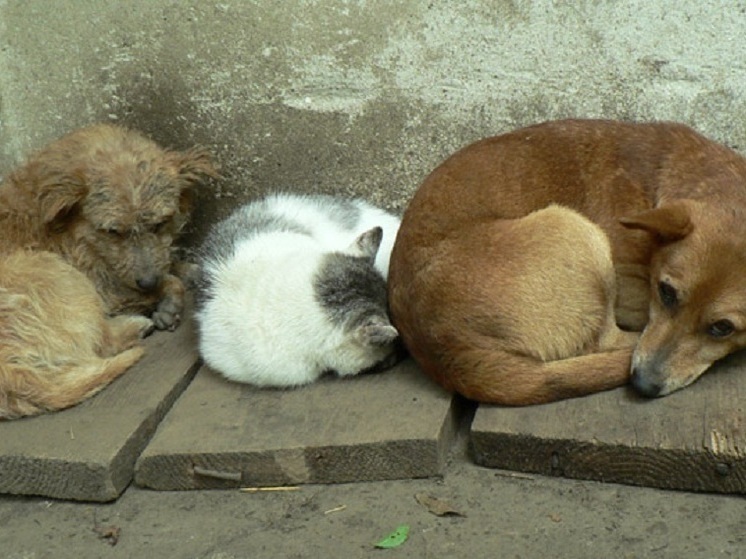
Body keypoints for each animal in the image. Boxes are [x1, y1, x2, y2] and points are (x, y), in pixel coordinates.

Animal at [0, 124, 215, 330]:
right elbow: (172, 283)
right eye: (112, 231)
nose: (148, 282)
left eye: (160, 224)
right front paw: (168, 304)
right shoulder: (103, 288)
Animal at [386, 120, 744, 404]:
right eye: (665, 292)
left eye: (722, 328)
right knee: (603, 342)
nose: (642, 384)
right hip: (574, 229)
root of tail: (448, 356)